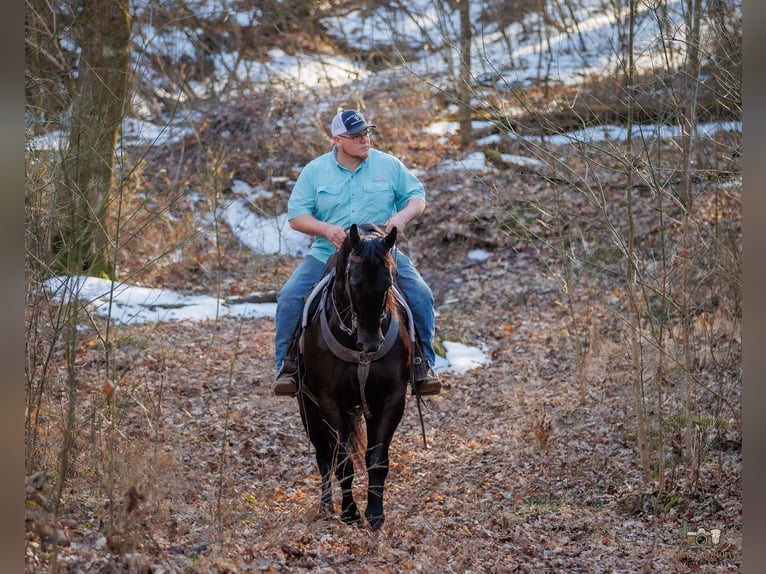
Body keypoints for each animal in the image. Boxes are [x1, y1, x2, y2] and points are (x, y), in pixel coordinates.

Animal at [297, 223, 413, 531]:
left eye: (388, 282)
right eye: (355, 281)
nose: (371, 342)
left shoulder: (391, 398)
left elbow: (377, 459)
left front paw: (375, 514)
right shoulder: (328, 401)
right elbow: (342, 462)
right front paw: (349, 513)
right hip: (307, 408)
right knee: (323, 455)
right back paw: (326, 507)